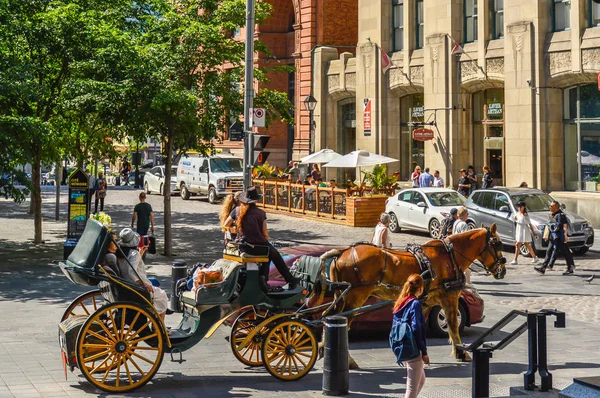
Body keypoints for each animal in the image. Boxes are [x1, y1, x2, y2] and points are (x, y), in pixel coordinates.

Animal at [314, 225, 506, 368]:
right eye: (497, 244)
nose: (502, 270)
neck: (450, 256)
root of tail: (342, 252)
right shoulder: (450, 298)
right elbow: (453, 326)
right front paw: (461, 353)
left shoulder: (426, 302)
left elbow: (419, 325)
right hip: (355, 298)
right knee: (343, 322)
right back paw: (346, 359)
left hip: (341, 295)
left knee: (328, 317)